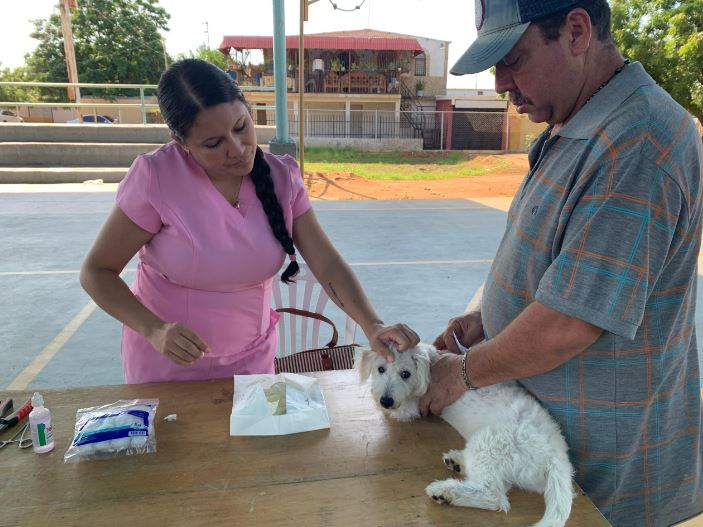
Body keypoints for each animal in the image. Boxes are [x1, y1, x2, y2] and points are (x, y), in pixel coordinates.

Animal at [360, 344, 576, 527]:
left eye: (406, 374)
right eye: (380, 369)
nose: (385, 401)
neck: (431, 365)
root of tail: (557, 457)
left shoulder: (414, 406)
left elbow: (402, 409)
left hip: (489, 442)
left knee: (495, 496)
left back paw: (445, 492)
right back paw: (457, 461)